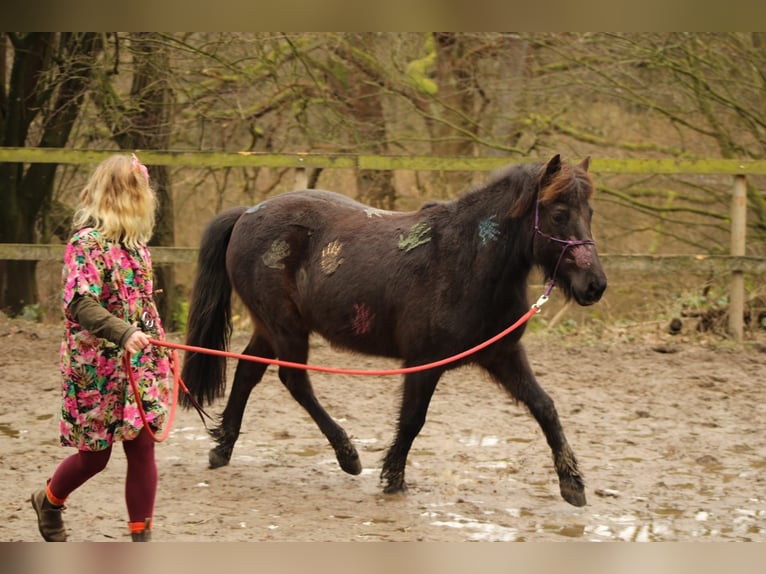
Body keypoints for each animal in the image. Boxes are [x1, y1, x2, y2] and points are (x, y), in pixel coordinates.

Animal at [183, 154, 608, 508]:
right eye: (558, 214)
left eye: (590, 211)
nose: (595, 286)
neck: (466, 260)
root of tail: (247, 214)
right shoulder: (424, 361)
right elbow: (413, 419)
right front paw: (393, 478)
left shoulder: (502, 355)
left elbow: (545, 407)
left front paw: (572, 485)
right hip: (285, 327)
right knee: (295, 381)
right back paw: (348, 455)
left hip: (272, 328)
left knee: (248, 371)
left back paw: (223, 448)